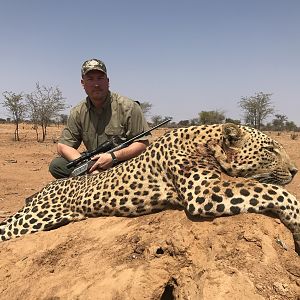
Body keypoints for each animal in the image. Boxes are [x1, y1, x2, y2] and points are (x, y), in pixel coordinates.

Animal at [0, 123, 300, 254]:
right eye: (270, 149)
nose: (295, 170)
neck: (210, 142)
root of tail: (42, 189)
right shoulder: (204, 192)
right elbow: (273, 191)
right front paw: (297, 221)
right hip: (34, 217)